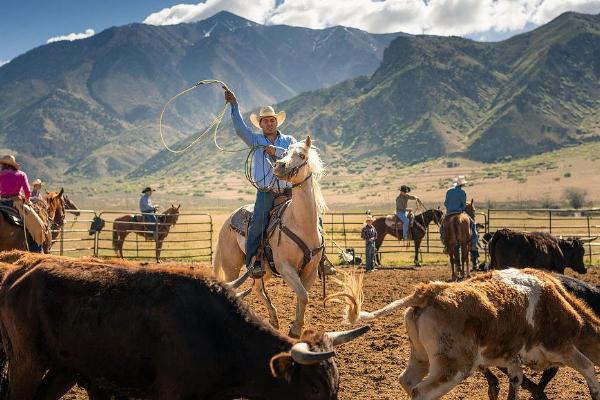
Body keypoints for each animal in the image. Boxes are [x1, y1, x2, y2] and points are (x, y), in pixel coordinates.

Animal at [213, 137, 326, 338]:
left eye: (302, 155)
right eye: (284, 153)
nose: (280, 166)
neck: (301, 223)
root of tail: (228, 220)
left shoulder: (310, 271)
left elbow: (303, 296)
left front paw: (296, 328)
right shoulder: (285, 267)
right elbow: (303, 295)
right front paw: (295, 329)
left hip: (264, 269)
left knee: (257, 288)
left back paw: (274, 319)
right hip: (231, 265)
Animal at [332, 268, 600, 400]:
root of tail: (428, 292)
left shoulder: (512, 360)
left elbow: (515, 383)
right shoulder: (562, 347)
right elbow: (589, 370)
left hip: (421, 356)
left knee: (407, 381)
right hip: (455, 367)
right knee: (421, 392)